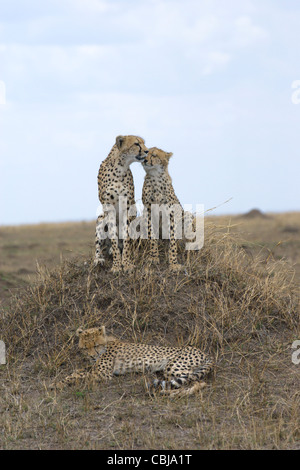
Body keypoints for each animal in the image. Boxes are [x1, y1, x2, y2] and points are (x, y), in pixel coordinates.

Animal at [50, 326, 212, 396]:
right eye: (85, 347)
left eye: (95, 345)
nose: (90, 356)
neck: (106, 344)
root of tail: (204, 352)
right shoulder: (94, 368)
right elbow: (77, 372)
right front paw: (57, 382)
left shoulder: (102, 374)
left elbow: (78, 376)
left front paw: (59, 383)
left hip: (173, 366)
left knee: (199, 382)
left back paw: (170, 394)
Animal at [94, 135, 148, 272]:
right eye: (136, 144)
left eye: (143, 143)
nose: (147, 151)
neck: (120, 167)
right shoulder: (109, 209)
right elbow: (113, 235)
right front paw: (117, 265)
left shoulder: (127, 208)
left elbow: (126, 236)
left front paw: (127, 263)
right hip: (101, 219)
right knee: (99, 246)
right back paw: (99, 258)